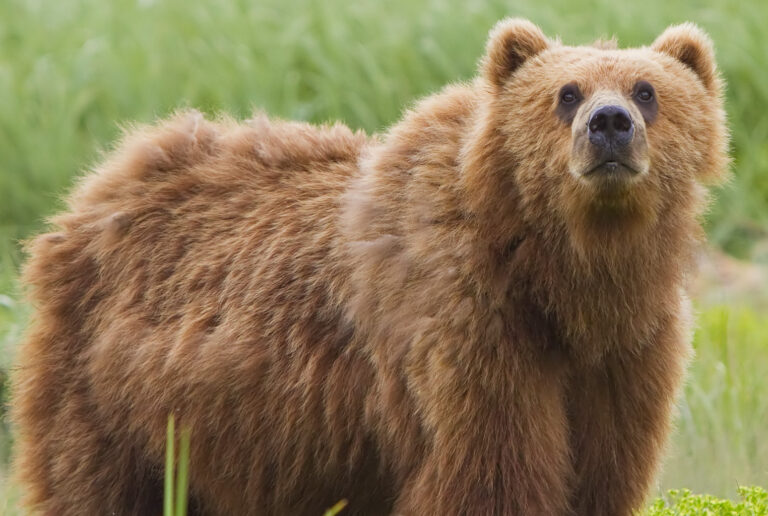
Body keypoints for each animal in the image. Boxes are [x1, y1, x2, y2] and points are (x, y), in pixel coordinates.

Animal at [10, 18, 728, 516]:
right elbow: (492, 475)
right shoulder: (469, 333)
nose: (609, 124)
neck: (564, 277)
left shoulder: (625, 356)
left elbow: (601, 474)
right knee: (93, 486)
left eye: (647, 90)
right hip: (111, 396)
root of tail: (103, 181)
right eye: (566, 93)